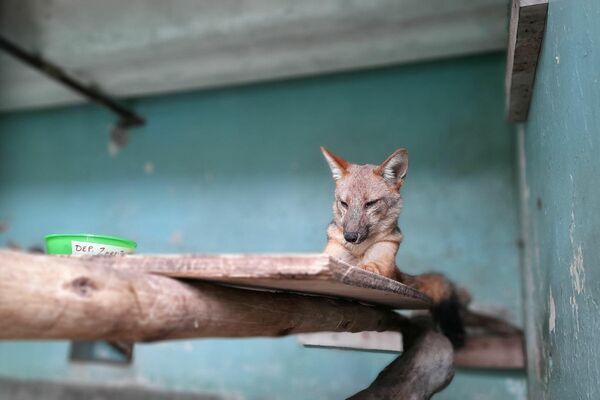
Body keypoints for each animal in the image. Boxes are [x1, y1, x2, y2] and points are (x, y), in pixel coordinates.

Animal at [322, 147, 466, 346]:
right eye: (344, 203)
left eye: (370, 203)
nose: (349, 237)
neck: (359, 250)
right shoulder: (331, 256)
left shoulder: (382, 264)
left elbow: (368, 267)